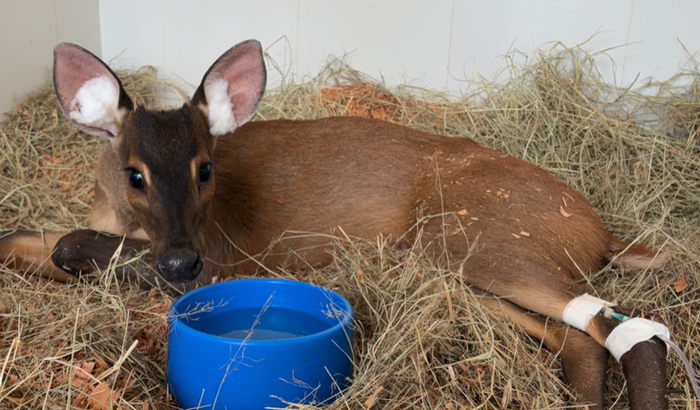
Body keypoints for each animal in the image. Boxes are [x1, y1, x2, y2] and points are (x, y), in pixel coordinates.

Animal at [0, 40, 678, 409]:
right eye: (134, 172)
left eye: (205, 167)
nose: (179, 262)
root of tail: (603, 233)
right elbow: (21, 238)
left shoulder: (228, 257)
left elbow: (68, 243)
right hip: (451, 267)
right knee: (581, 337)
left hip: (482, 241)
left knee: (628, 327)